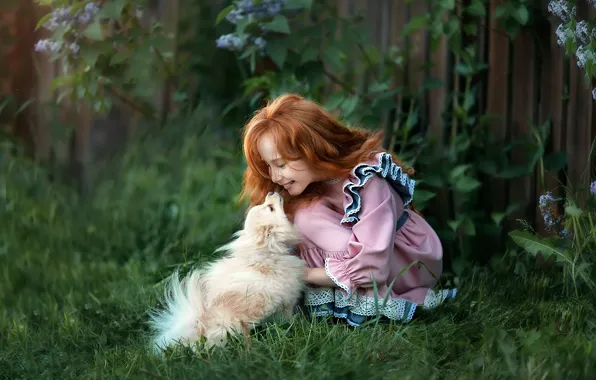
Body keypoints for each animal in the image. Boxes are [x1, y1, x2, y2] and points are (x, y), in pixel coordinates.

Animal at [149, 191, 308, 352]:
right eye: (270, 208)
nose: (271, 192)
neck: (268, 253)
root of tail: (201, 322)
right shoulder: (287, 303)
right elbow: (288, 319)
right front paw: (295, 326)